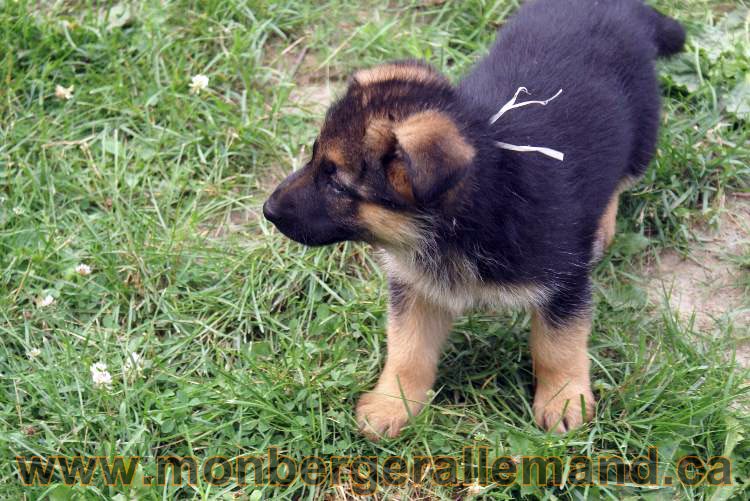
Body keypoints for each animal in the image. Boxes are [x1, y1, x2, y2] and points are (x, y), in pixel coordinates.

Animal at [264, 0, 688, 438]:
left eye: (336, 183)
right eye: (314, 158)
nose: (268, 210)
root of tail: (621, 8)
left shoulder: (565, 283)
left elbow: (558, 345)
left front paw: (564, 399)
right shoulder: (415, 288)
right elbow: (408, 348)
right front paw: (392, 403)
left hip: (642, 135)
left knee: (619, 180)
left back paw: (601, 226)